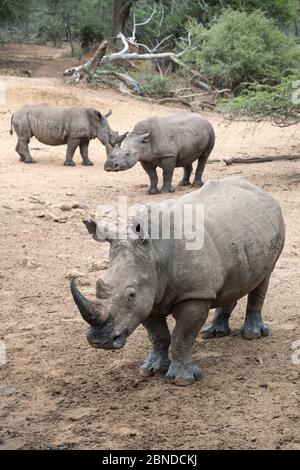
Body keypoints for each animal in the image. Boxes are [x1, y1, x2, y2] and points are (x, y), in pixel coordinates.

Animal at [69, 176, 284, 386]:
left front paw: (182, 380)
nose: (100, 341)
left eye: (131, 295)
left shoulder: (194, 294)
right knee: (232, 281)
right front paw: (151, 370)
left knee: (264, 278)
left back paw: (252, 335)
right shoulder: (148, 298)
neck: (154, 253)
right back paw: (213, 332)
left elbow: (182, 335)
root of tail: (259, 189)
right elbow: (158, 335)